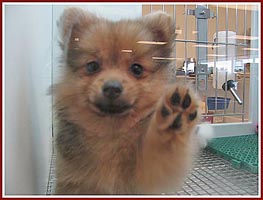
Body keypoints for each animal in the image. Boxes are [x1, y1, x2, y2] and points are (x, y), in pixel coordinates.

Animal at [54, 7, 202, 195]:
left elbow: (161, 154)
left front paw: (174, 115)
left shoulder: (148, 174)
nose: (112, 87)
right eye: (92, 66)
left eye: (136, 69)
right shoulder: (72, 180)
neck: (111, 131)